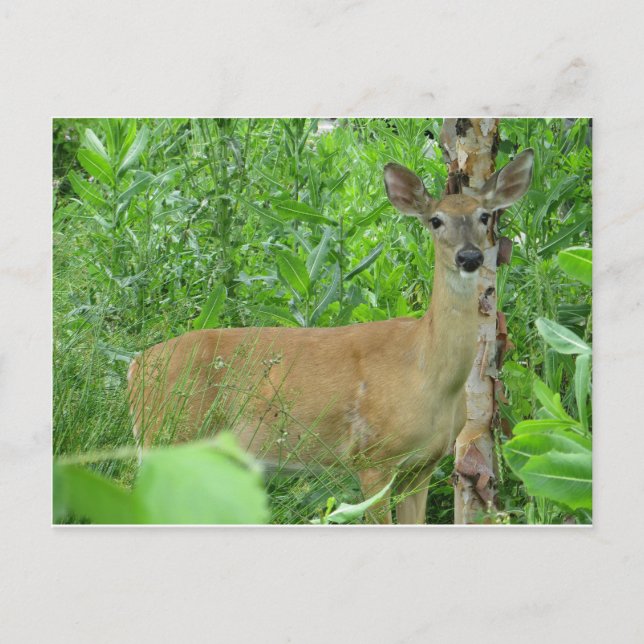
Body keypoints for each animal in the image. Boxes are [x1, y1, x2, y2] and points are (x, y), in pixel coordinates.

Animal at [127, 149, 534, 524]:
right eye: (436, 220)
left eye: (484, 216)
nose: (470, 257)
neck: (429, 373)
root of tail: (136, 365)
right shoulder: (372, 457)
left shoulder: (423, 465)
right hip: (167, 436)